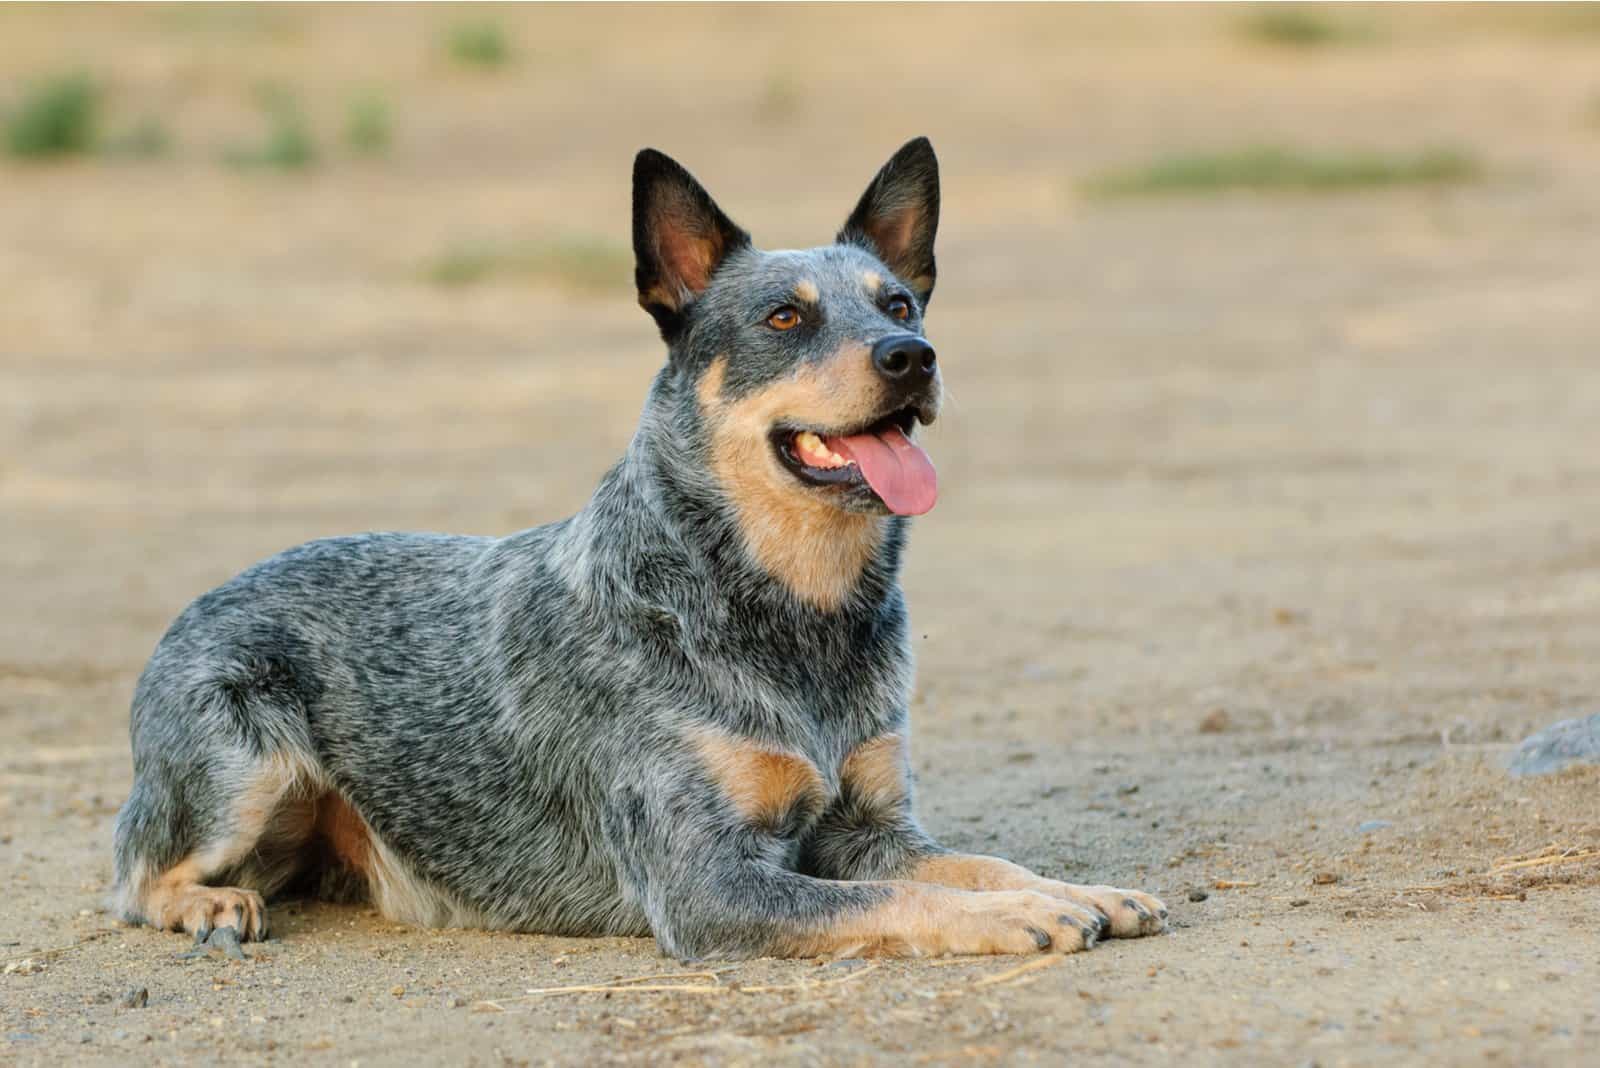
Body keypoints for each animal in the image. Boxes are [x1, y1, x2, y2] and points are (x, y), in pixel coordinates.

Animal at [109, 135, 1164, 959]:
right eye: (786, 315)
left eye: (900, 303)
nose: (914, 358)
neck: (790, 609)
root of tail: (205, 596)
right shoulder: (705, 881)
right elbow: (905, 894)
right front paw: (1024, 914)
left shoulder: (871, 824)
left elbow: (974, 861)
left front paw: (1077, 888)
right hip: (242, 761)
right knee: (133, 876)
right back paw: (212, 905)